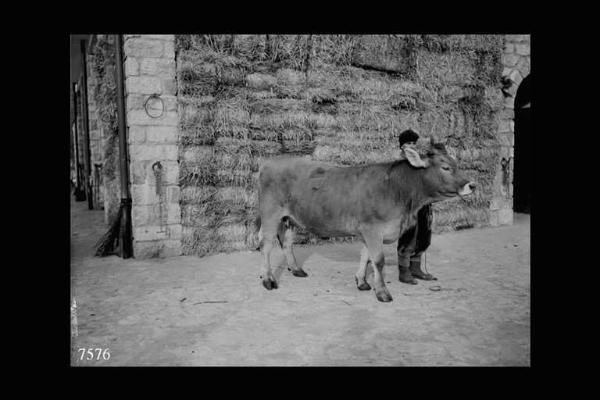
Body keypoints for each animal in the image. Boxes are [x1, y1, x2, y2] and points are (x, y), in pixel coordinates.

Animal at [255, 138, 476, 304]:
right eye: (445, 167)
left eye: (456, 164)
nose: (472, 185)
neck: (397, 189)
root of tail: (270, 162)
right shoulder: (372, 228)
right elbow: (378, 260)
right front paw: (382, 292)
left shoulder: (367, 230)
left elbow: (366, 256)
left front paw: (362, 282)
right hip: (270, 213)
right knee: (266, 245)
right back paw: (268, 280)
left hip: (290, 217)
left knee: (286, 242)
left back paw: (296, 269)